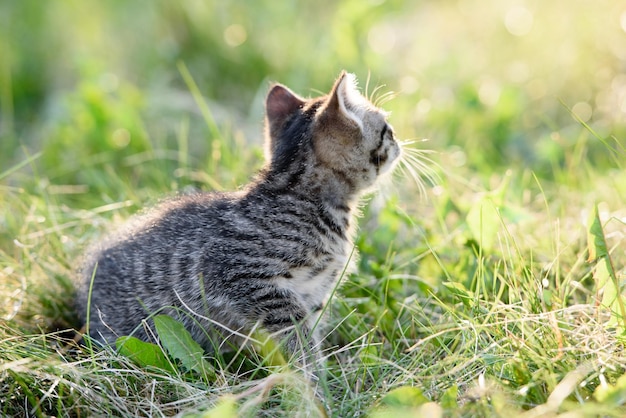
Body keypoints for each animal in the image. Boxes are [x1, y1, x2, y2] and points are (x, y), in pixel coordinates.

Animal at [77, 72, 400, 376]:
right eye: (387, 129)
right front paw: (313, 381)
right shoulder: (243, 276)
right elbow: (295, 333)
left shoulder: (314, 294)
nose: (399, 141)